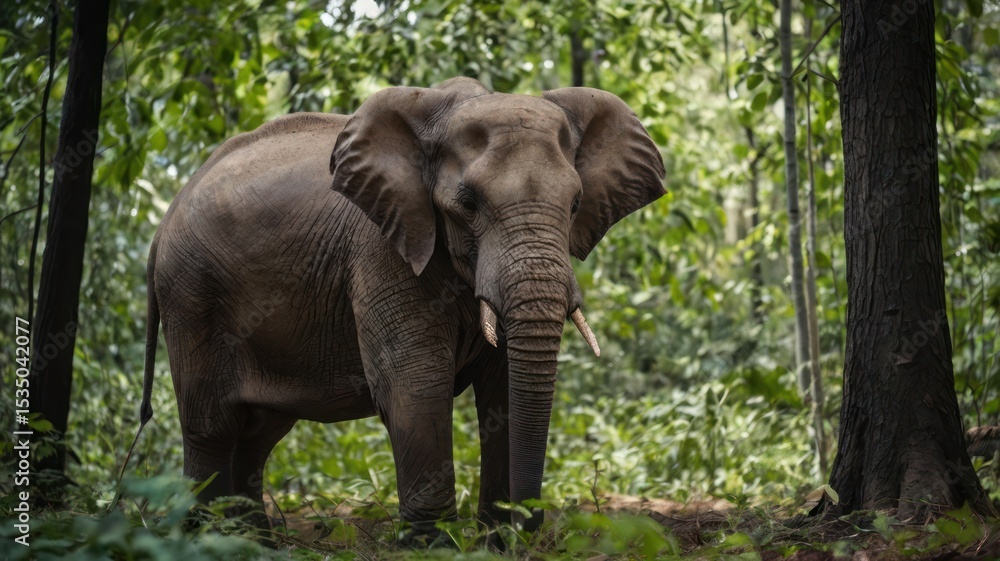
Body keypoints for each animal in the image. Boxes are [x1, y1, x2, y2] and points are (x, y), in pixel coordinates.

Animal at [140, 77, 665, 541]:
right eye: (468, 204)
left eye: (575, 205)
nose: (529, 528)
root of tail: (166, 215)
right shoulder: (382, 247)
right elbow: (413, 379)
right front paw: (433, 546)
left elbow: (501, 390)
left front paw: (496, 541)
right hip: (191, 294)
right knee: (212, 427)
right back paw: (209, 537)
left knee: (257, 433)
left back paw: (252, 542)